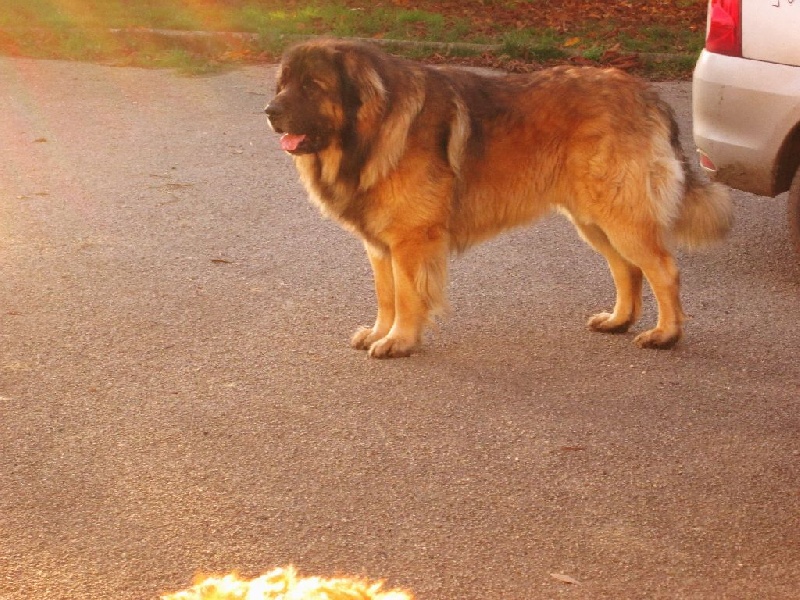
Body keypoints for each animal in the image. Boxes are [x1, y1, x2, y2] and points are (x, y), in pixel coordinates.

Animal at [264, 39, 732, 358]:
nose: (269, 112)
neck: (371, 130)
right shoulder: (381, 245)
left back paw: (665, 334)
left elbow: (408, 295)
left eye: (312, 85)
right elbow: (386, 294)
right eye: (283, 85)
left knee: (663, 270)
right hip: (593, 218)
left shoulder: (412, 240)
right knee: (627, 269)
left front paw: (400, 340)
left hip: (621, 214)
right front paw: (382, 332)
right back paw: (618, 320)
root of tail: (647, 94)